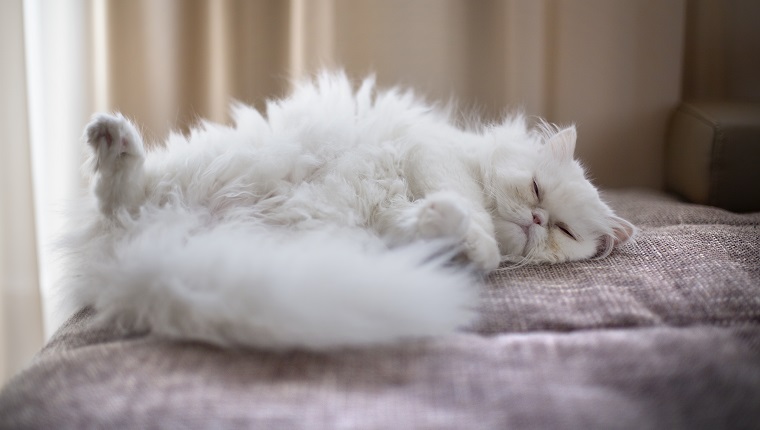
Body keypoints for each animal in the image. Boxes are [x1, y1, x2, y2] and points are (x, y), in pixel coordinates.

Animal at [62, 73, 636, 350]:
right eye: (537, 191)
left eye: (564, 231)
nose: (537, 222)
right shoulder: (436, 155)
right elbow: (469, 208)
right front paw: (478, 240)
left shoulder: (392, 218)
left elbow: (428, 223)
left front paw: (452, 232)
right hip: (208, 168)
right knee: (119, 195)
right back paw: (111, 136)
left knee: (119, 202)